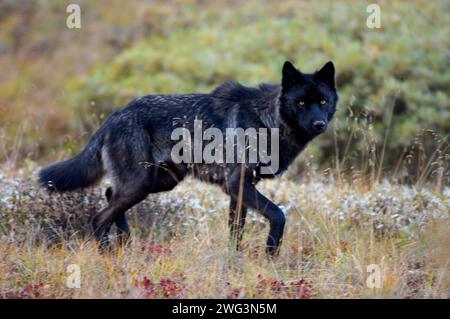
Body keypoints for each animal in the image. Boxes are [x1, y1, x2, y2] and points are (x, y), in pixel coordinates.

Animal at [37, 61, 338, 258]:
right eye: (301, 103)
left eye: (323, 101)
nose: (319, 125)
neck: (267, 121)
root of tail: (113, 117)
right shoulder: (238, 183)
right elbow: (278, 215)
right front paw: (270, 256)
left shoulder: (239, 189)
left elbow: (235, 232)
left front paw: (234, 264)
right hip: (141, 186)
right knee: (99, 218)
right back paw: (109, 255)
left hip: (159, 182)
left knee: (110, 193)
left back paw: (126, 242)